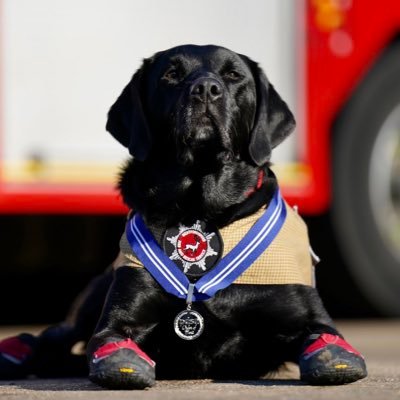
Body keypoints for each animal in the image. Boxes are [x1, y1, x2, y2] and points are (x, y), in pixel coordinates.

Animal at [0, 43, 366, 388]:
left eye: (234, 76)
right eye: (171, 75)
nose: (205, 89)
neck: (201, 209)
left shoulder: (307, 315)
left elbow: (326, 340)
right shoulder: (118, 320)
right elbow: (111, 344)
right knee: (55, 337)